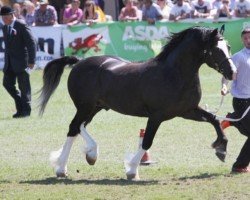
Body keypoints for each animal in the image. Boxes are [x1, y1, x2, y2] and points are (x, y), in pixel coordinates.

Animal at [38, 26, 236, 180]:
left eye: (228, 46)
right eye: (216, 49)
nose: (232, 72)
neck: (173, 74)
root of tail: (79, 62)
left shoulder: (187, 111)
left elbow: (214, 120)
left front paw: (221, 149)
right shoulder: (156, 116)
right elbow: (147, 141)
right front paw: (132, 170)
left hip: (95, 108)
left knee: (80, 127)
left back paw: (90, 155)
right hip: (85, 107)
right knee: (73, 128)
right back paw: (62, 168)